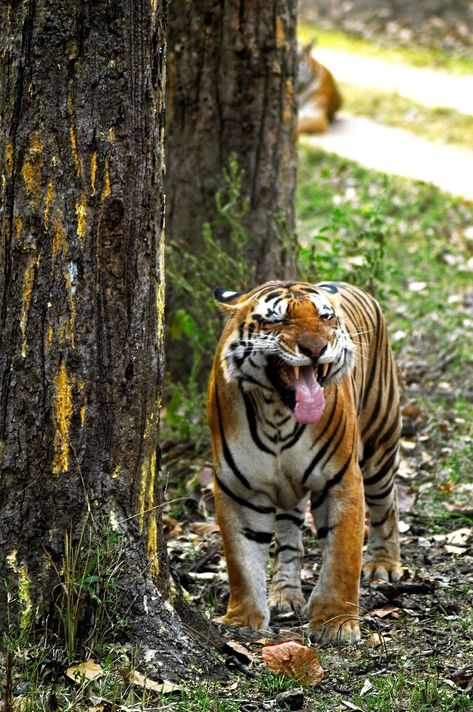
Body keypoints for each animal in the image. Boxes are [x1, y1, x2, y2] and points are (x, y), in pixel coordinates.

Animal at [208, 280, 400, 644]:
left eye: (325, 318)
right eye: (277, 320)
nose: (316, 348)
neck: (277, 413)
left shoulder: (341, 480)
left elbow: (342, 557)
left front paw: (335, 623)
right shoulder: (240, 488)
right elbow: (242, 561)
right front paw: (242, 619)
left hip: (380, 446)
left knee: (387, 507)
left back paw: (383, 564)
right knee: (288, 536)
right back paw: (285, 594)